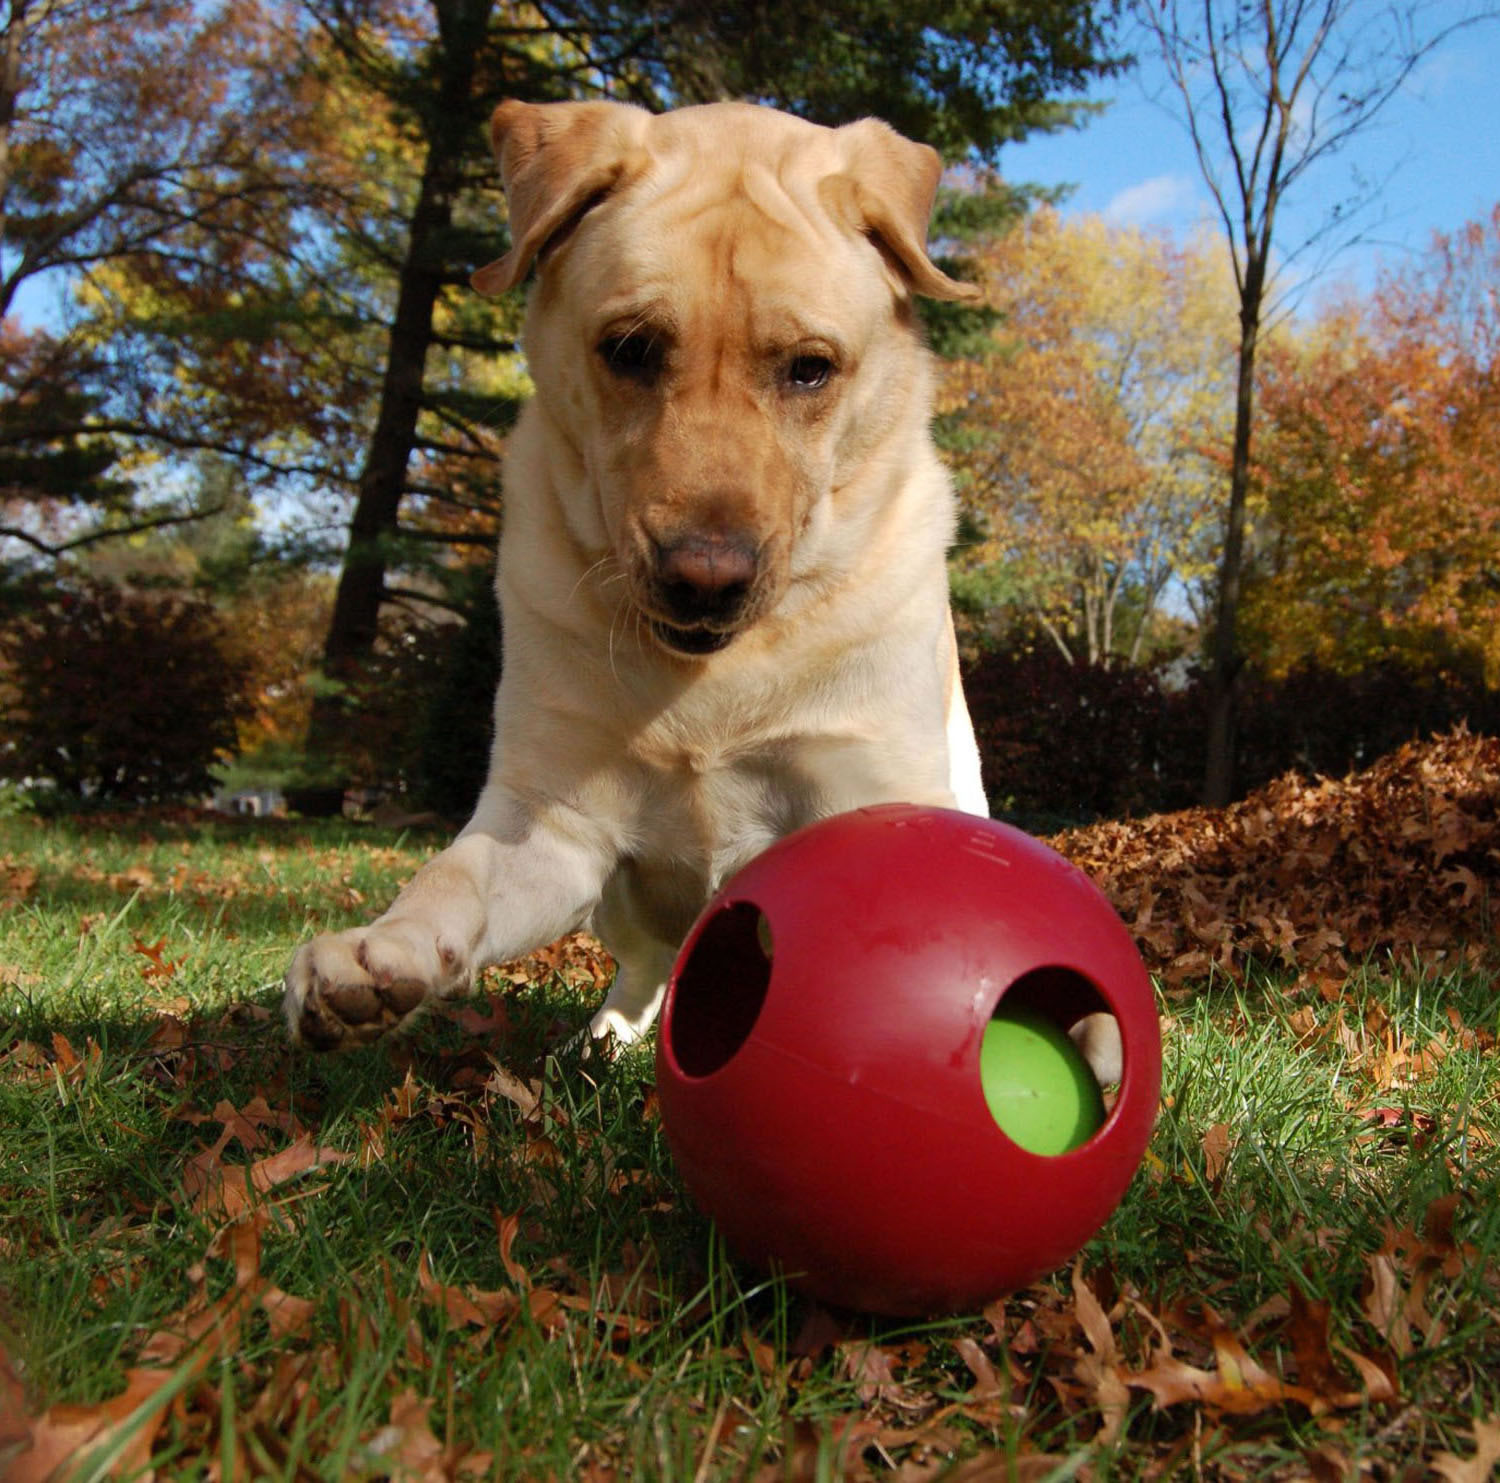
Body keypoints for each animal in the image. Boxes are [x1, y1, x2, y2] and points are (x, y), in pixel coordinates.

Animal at [282, 98, 1008, 1061]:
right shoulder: (548, 820)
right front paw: (379, 952)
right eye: (629, 348)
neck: (713, 679)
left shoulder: (871, 787)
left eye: (811, 368)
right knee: (644, 965)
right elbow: (453, 873)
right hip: (619, 907)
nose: (705, 578)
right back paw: (607, 1036)